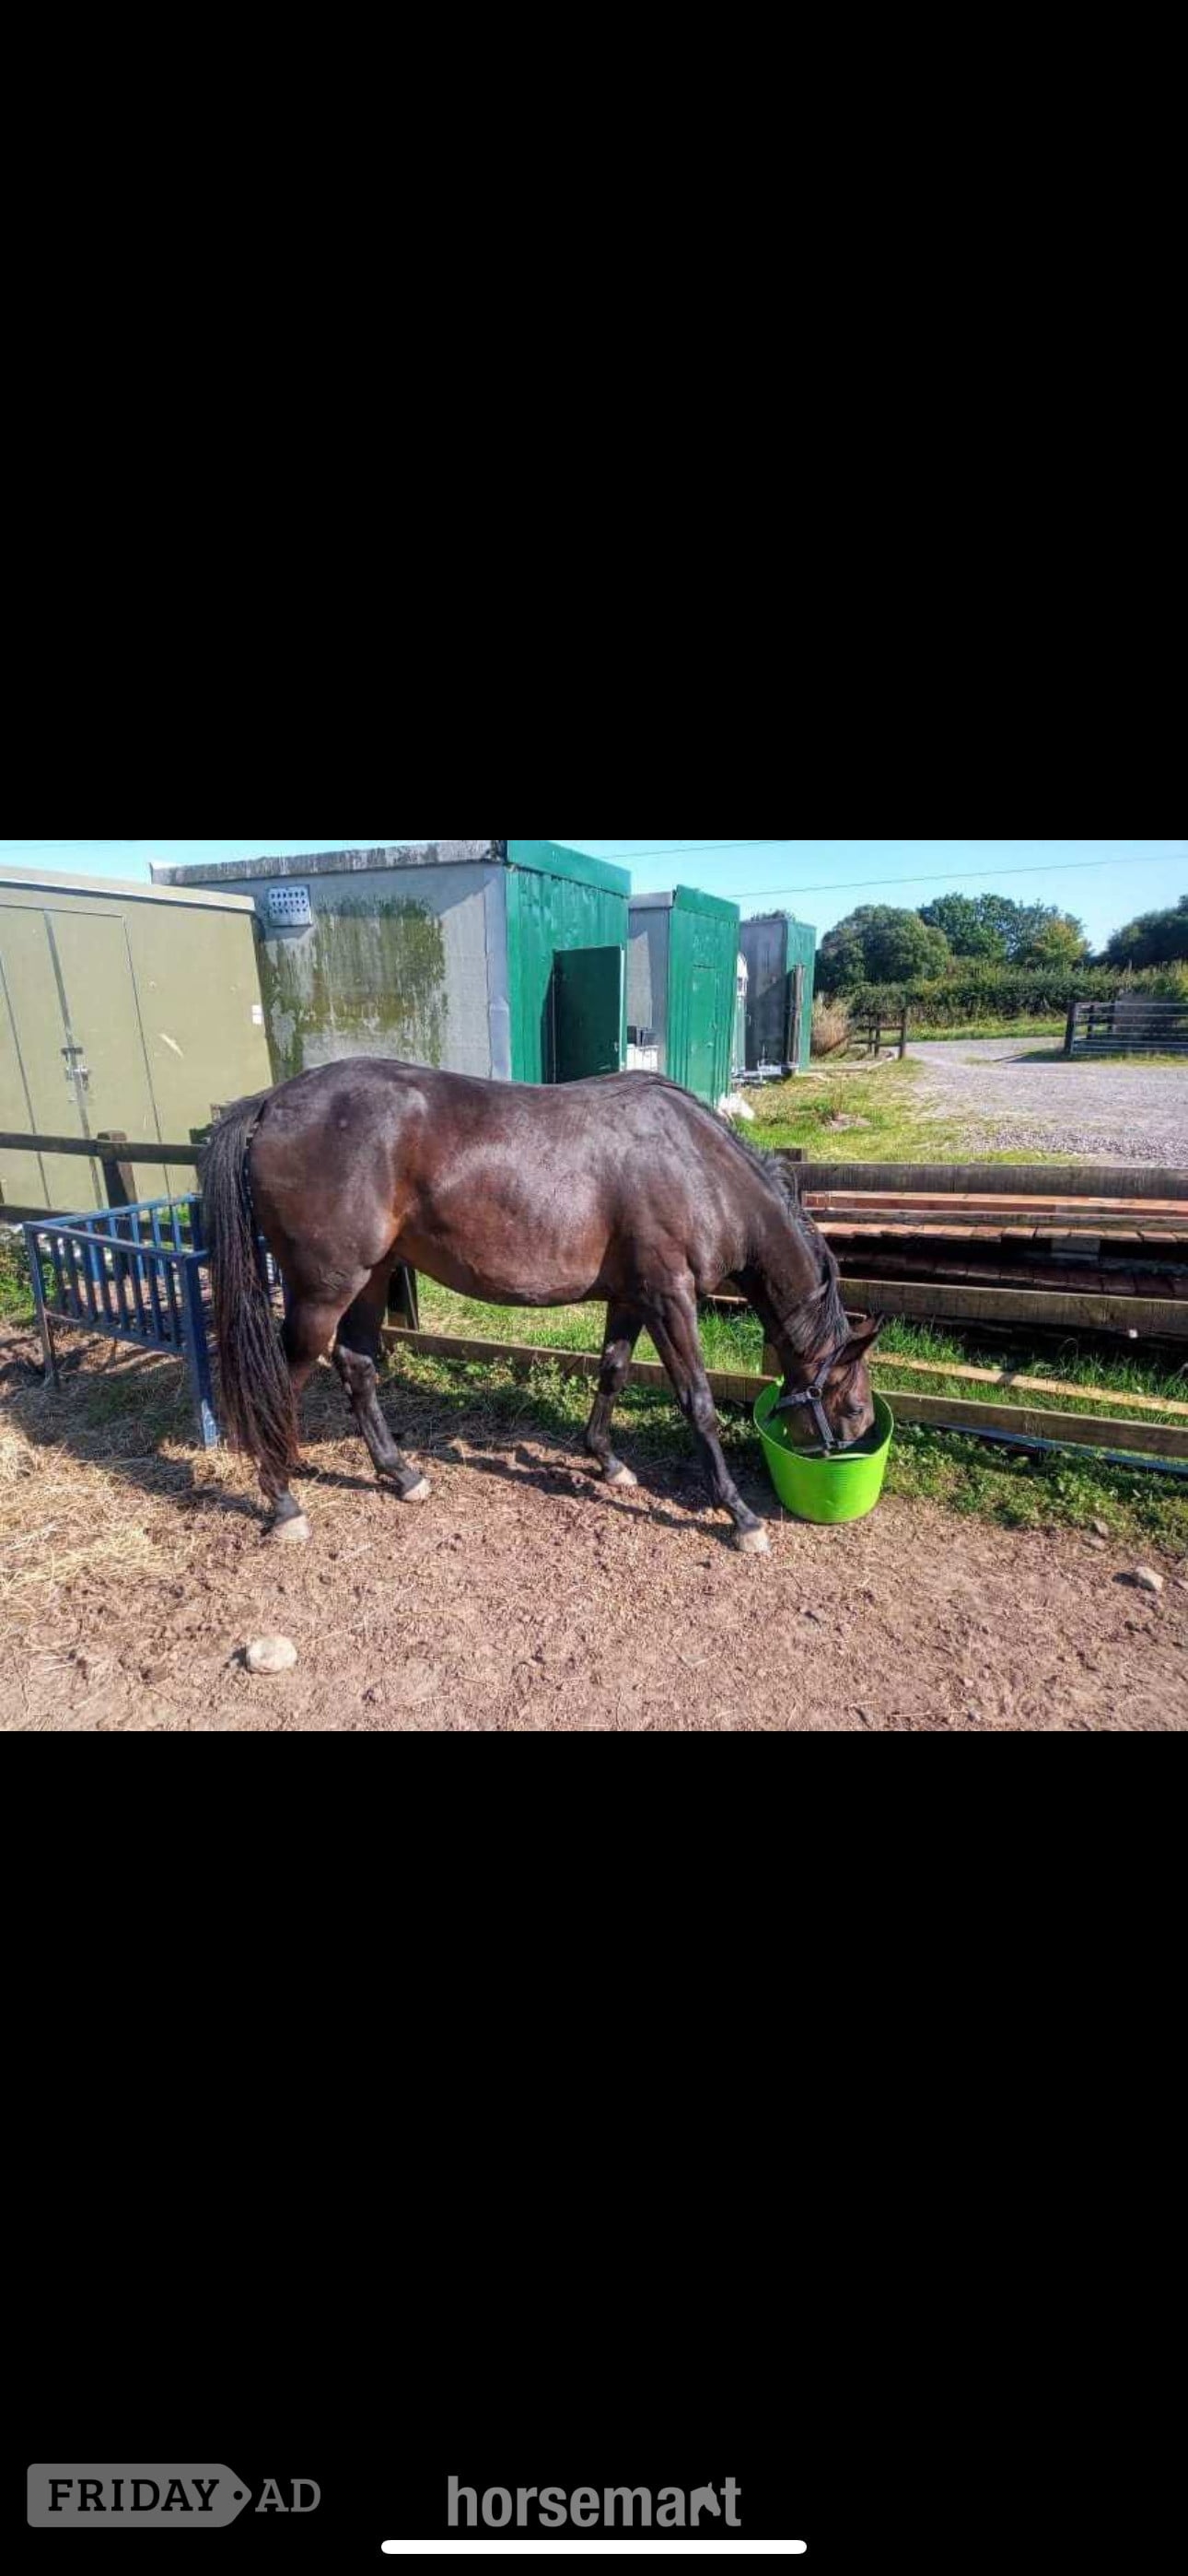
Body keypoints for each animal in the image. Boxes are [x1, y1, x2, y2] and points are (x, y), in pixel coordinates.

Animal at [200, 1061, 881, 1554]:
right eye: (853, 1403)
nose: (853, 1443)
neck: (697, 1167)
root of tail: (271, 1103)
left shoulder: (632, 1297)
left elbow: (613, 1371)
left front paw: (607, 1461)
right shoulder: (669, 1296)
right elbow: (698, 1401)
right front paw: (739, 1514)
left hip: (371, 1278)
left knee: (357, 1365)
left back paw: (401, 1474)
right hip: (323, 1292)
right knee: (283, 1382)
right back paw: (284, 1503)